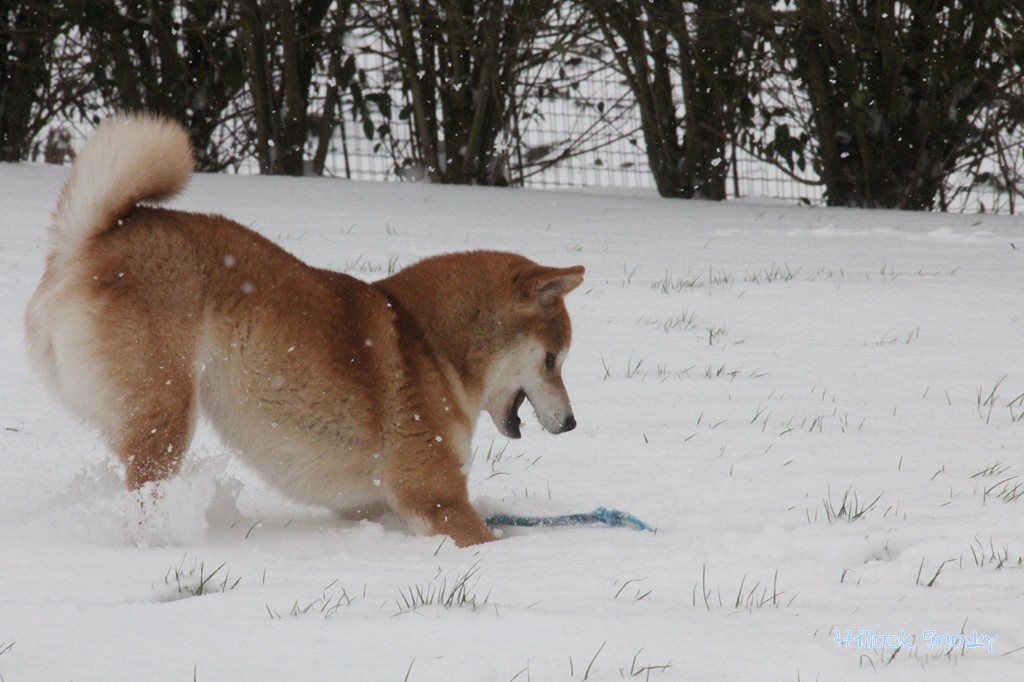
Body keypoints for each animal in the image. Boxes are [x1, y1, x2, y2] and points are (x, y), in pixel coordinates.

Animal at [25, 114, 585, 544]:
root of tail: (86, 242)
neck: (432, 344)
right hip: (166, 412)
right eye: (552, 360)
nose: (573, 424)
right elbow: (485, 537)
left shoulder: (376, 505)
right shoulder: (433, 495)